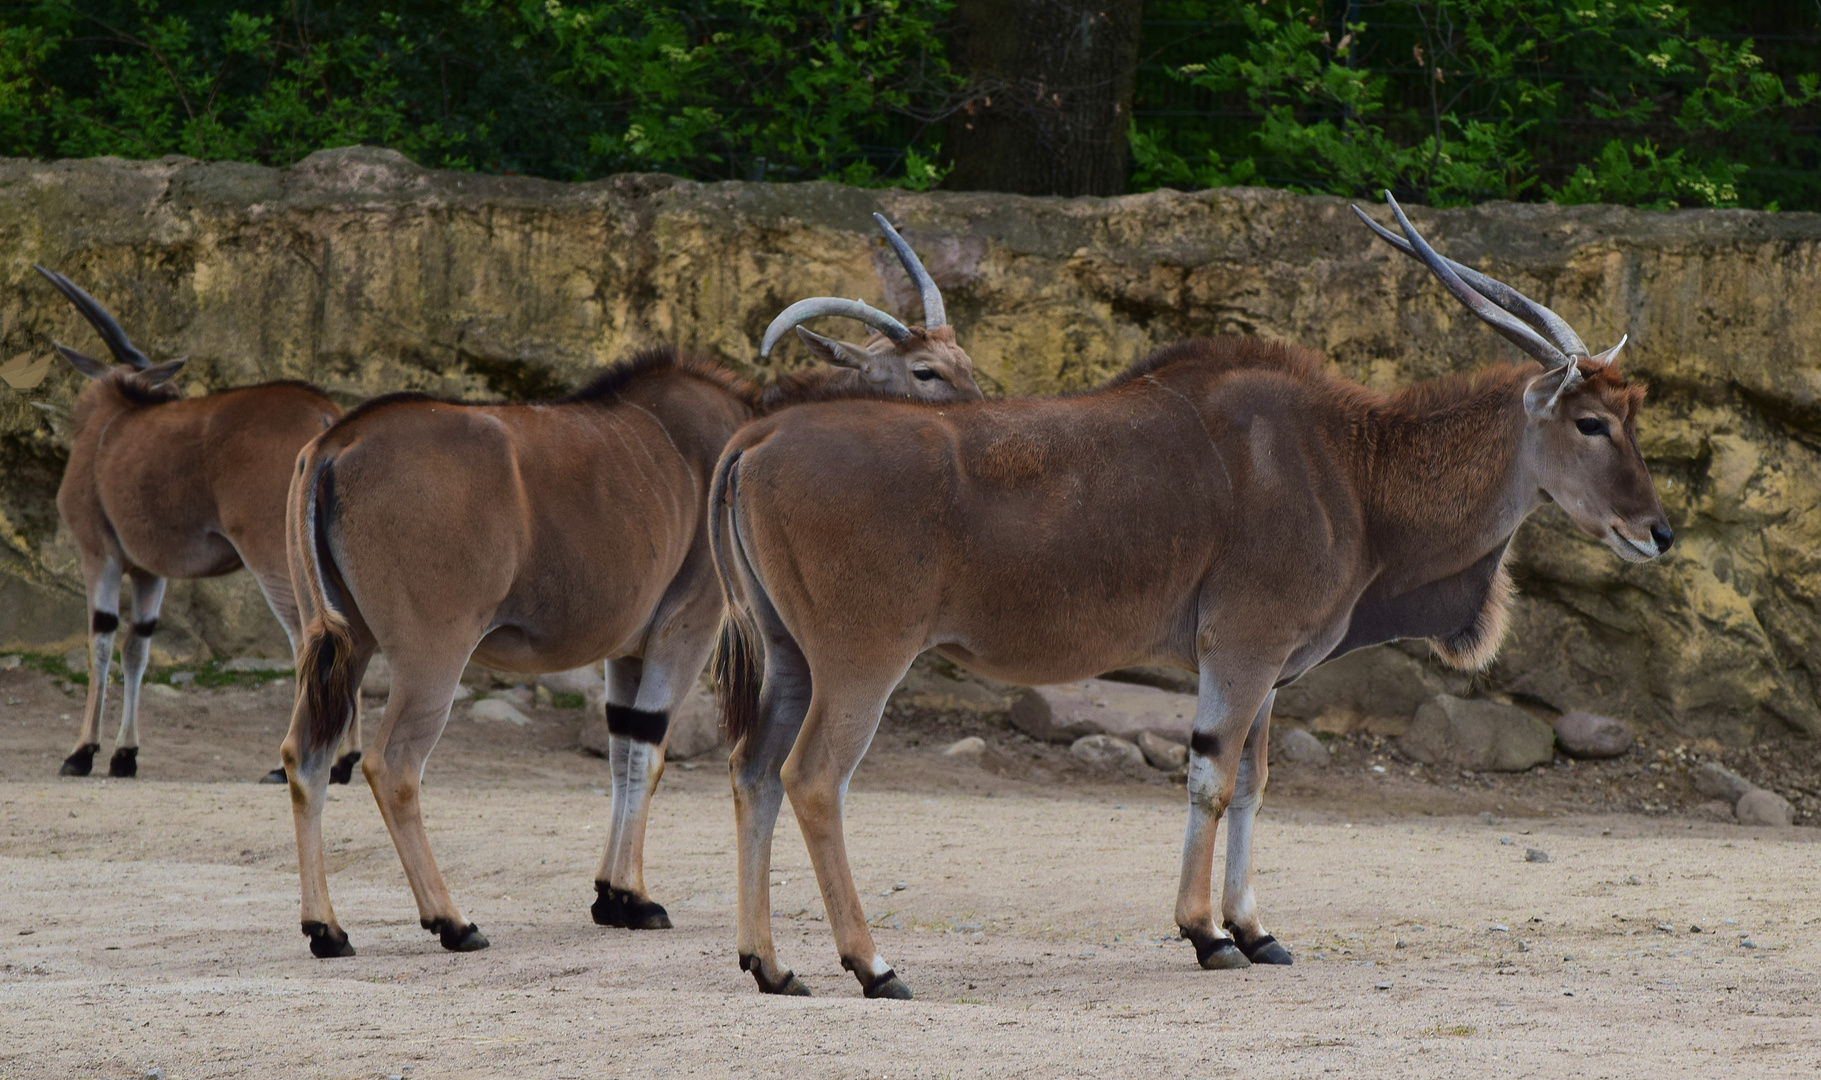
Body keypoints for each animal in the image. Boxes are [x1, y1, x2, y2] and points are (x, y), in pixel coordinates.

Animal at [34, 264, 358, 783]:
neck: (109, 426)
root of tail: (328, 418)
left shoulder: (97, 554)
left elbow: (101, 639)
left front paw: (82, 751)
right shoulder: (150, 572)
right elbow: (138, 646)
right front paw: (125, 754)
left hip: (275, 559)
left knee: (309, 638)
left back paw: (290, 764)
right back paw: (345, 761)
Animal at [278, 214, 983, 954]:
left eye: (964, 363)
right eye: (925, 370)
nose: (981, 418)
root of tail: (334, 444)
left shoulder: (627, 647)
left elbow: (621, 751)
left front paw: (609, 894)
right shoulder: (687, 628)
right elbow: (649, 751)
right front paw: (634, 898)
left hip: (344, 643)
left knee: (305, 755)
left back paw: (326, 928)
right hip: (430, 652)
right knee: (391, 764)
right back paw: (452, 920)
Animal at [713, 191, 1675, 990]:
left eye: (1628, 419)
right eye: (1591, 422)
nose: (1657, 532)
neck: (1349, 467)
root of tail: (758, 440)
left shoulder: (1269, 671)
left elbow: (1251, 780)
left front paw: (1254, 930)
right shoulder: (1241, 651)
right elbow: (1211, 777)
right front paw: (1206, 935)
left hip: (792, 657)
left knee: (752, 769)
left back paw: (771, 966)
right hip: (861, 661)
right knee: (812, 778)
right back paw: (871, 965)